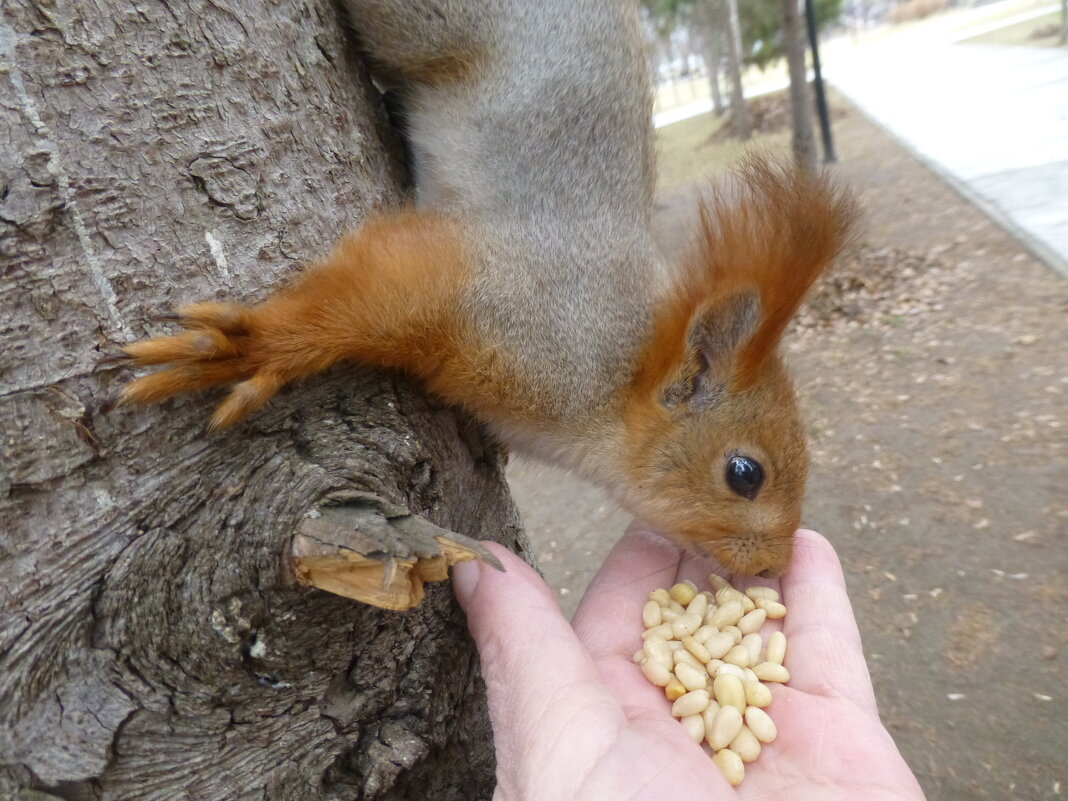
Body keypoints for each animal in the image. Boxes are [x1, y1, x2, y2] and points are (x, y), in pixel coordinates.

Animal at [112, 0, 854, 576]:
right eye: (744, 474)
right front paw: (256, 346)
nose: (771, 569)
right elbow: (369, 296)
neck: (615, 376)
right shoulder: (494, 301)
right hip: (426, 24)